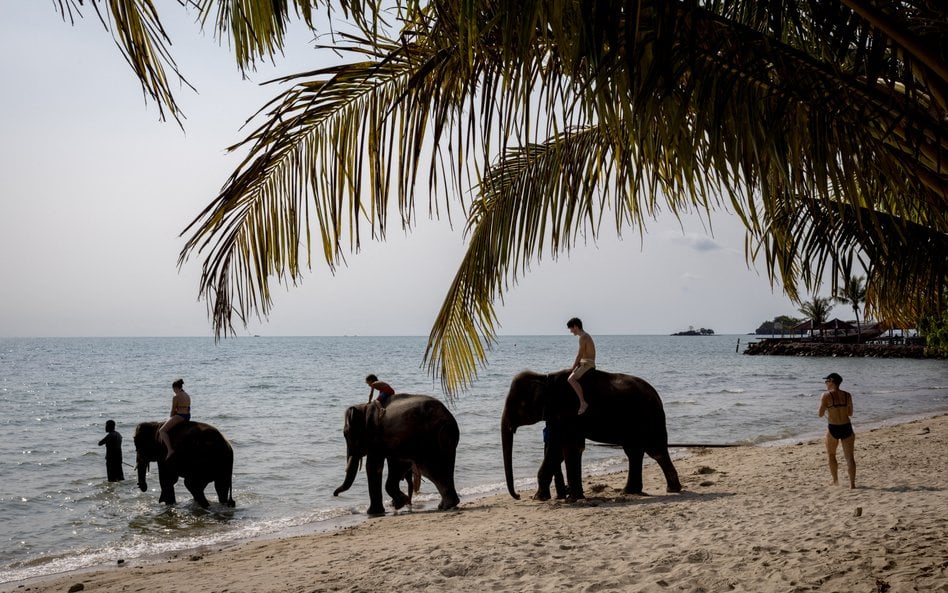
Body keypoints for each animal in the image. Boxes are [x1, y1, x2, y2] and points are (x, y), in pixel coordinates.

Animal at [500, 370, 676, 500]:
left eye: (516, 405)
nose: (518, 495)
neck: (545, 377)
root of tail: (657, 396)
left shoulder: (569, 412)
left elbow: (566, 447)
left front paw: (557, 498)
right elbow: (563, 448)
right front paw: (561, 497)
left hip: (649, 419)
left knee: (655, 451)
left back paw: (672, 489)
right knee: (634, 452)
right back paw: (630, 492)